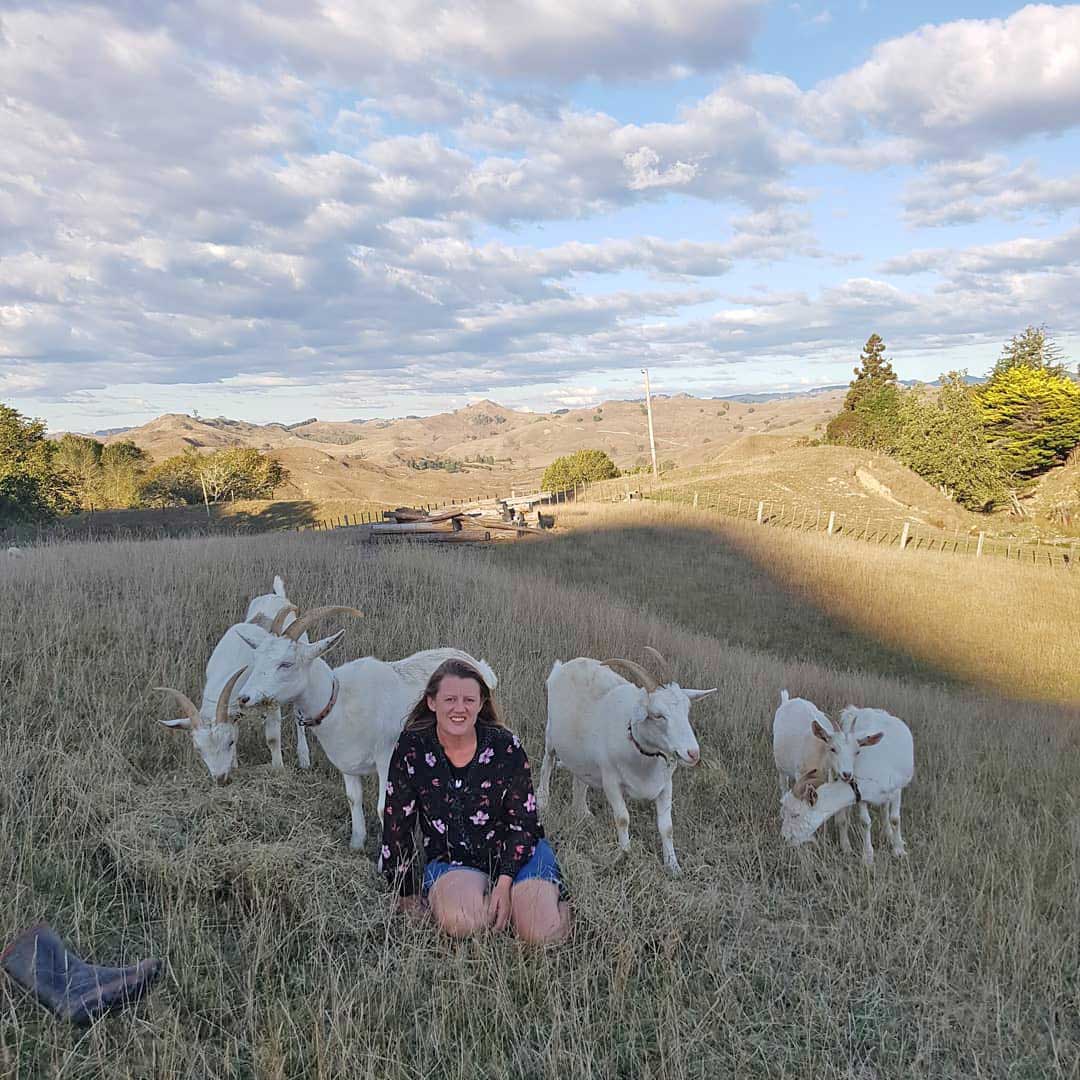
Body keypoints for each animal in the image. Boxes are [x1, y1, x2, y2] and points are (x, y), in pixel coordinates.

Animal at [234, 609, 498, 851]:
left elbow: (384, 809)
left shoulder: (387, 759)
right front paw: (356, 844)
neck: (338, 699)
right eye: (257, 658)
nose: (244, 698)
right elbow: (354, 798)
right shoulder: (348, 762)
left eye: (286, 664)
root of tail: (481, 666)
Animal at [540, 643, 717, 872]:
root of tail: (563, 666)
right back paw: (543, 800)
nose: (693, 753)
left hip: (581, 755)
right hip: (551, 734)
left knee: (579, 780)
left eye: (687, 710)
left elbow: (667, 827)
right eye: (658, 715)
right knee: (547, 762)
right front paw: (626, 855)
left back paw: (582, 813)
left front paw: (673, 866)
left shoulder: (665, 785)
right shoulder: (611, 781)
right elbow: (623, 819)